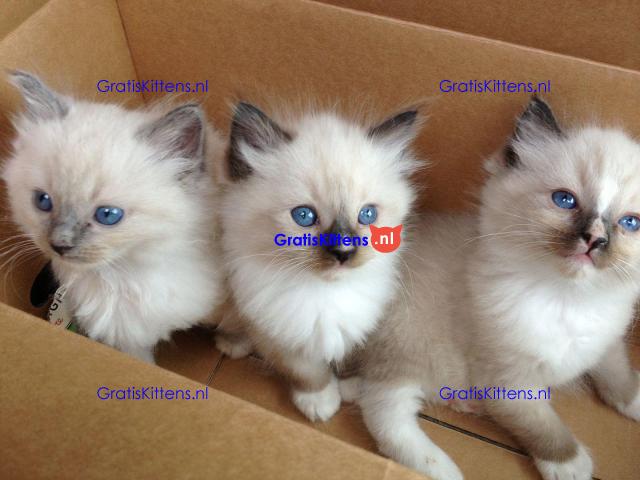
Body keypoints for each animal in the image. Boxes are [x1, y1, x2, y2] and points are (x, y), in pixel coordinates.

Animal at [2, 71, 226, 363]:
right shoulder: (128, 336)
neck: (123, 276)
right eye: (43, 201)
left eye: (108, 215)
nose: (60, 245)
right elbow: (143, 363)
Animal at [217, 101, 423, 422]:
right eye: (304, 216)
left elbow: (347, 356)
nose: (343, 251)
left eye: (367, 215)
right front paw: (322, 401)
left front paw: (350, 387)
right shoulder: (275, 333)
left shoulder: (359, 323)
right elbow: (307, 372)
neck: (325, 294)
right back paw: (232, 343)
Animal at [344, 96, 640, 480]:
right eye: (565, 200)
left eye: (630, 223)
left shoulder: (605, 340)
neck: (567, 298)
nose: (594, 240)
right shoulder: (509, 381)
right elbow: (542, 425)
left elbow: (617, 373)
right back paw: (443, 469)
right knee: (382, 412)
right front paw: (569, 465)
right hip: (408, 349)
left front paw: (635, 400)